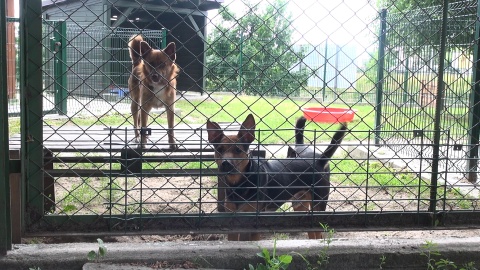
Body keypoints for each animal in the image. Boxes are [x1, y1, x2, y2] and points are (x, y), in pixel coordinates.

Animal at [206, 114, 348, 240]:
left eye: (238, 150)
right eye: (219, 149)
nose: (225, 164)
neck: (239, 184)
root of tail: (320, 161)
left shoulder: (253, 221)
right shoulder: (232, 221)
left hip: (318, 206)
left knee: (319, 233)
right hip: (300, 205)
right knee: (312, 233)